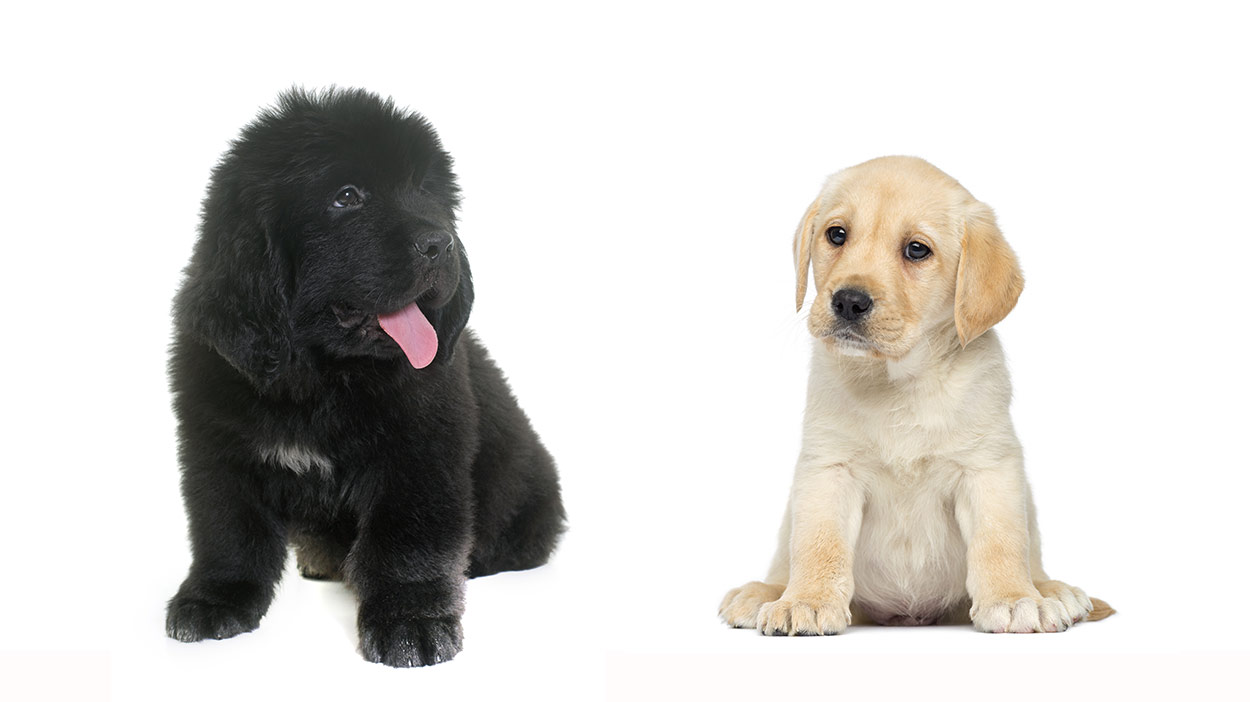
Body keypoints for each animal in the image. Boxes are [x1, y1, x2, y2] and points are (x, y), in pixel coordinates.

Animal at [163, 88, 565, 664]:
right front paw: (214, 599)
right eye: (347, 197)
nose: (441, 243)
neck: (318, 379)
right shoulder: (218, 447)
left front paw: (411, 621)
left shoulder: (419, 454)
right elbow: (227, 531)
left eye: (425, 190)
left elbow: (405, 541)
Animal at [725, 155, 1115, 632]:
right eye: (836, 234)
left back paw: (1051, 590)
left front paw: (1012, 598)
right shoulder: (828, 469)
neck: (900, 381)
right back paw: (764, 593)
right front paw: (808, 600)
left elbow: (1000, 541)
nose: (849, 301)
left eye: (916, 250)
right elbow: (818, 544)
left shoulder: (989, 468)